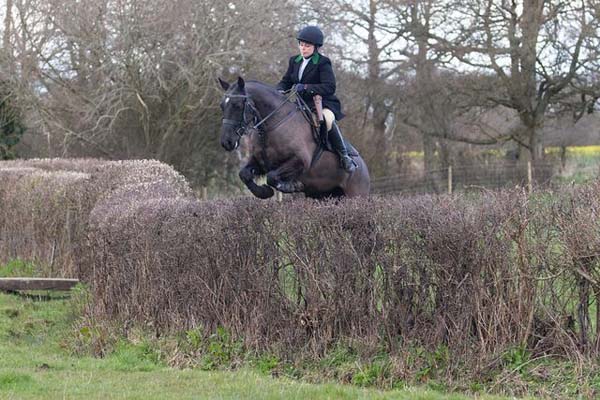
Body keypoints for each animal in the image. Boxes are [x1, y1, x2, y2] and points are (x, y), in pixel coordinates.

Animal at [219, 76, 370, 198]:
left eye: (237, 105)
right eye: (222, 106)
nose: (227, 142)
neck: (270, 127)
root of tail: (364, 168)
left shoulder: (300, 161)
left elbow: (272, 177)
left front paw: (292, 186)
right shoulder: (258, 161)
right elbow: (244, 174)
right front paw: (263, 192)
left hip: (355, 195)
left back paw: (348, 162)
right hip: (325, 195)